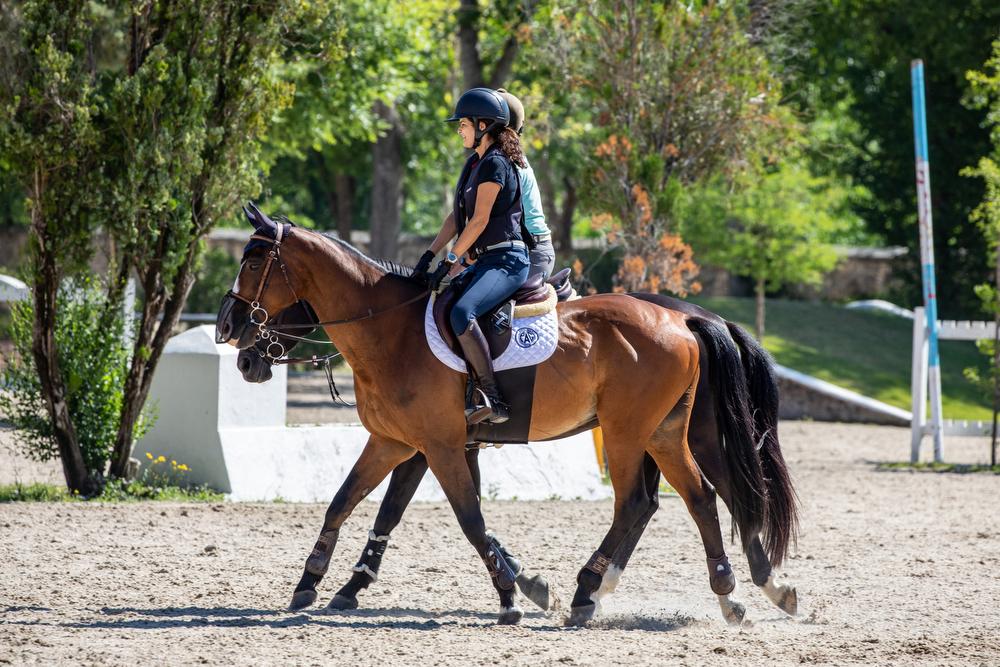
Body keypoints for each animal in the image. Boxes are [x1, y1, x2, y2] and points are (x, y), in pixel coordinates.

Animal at [217, 205, 796, 628]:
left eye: (253, 263)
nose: (234, 342)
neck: (389, 331)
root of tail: (681, 319)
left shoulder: (439, 446)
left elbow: (470, 520)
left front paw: (511, 595)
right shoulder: (399, 443)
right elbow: (354, 506)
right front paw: (318, 583)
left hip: (633, 433)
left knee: (641, 501)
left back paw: (594, 591)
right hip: (666, 432)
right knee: (699, 497)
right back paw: (731, 595)